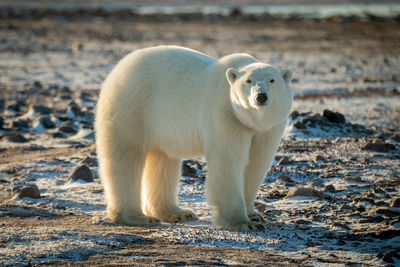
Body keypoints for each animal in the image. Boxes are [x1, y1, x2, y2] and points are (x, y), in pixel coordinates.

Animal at [95, 46, 292, 232]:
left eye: (272, 80)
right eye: (248, 81)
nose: (261, 96)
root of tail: (116, 70)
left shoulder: (269, 128)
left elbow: (256, 164)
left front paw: (254, 215)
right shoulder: (225, 113)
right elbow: (228, 162)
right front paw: (242, 223)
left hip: (161, 125)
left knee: (163, 162)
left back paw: (177, 213)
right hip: (133, 106)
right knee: (125, 158)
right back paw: (136, 217)